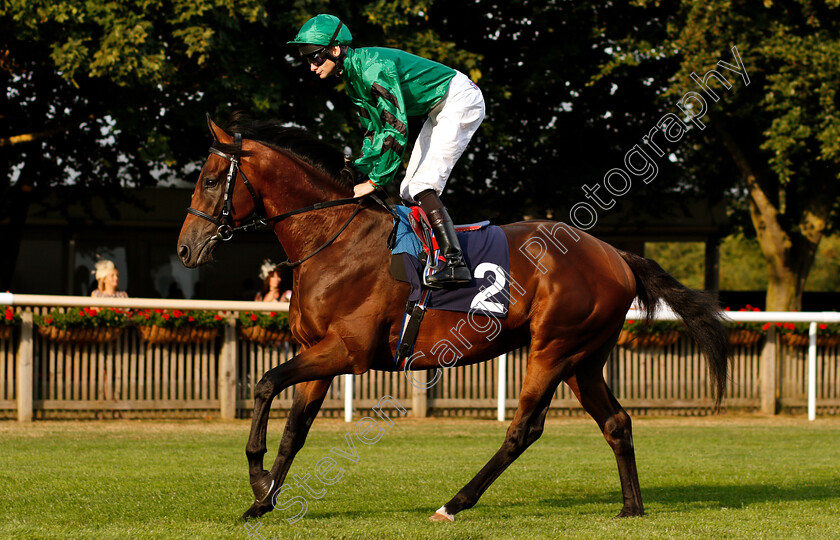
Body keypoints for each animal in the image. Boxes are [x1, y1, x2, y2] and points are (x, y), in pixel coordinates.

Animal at [177, 114, 728, 524]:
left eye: (209, 180)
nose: (185, 248)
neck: (334, 238)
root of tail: (615, 254)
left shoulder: (347, 352)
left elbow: (266, 383)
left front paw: (257, 478)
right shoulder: (320, 352)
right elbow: (295, 427)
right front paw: (263, 500)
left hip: (554, 349)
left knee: (522, 430)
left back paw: (454, 503)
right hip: (584, 359)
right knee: (615, 421)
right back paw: (632, 507)